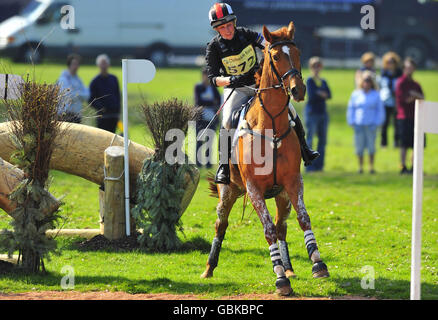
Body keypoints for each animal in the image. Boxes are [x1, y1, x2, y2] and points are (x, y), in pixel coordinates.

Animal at [202, 22, 328, 296]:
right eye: (276, 56)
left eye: (298, 53)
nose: (298, 90)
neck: (270, 126)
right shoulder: (254, 189)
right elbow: (268, 229)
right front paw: (280, 279)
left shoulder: (292, 182)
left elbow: (302, 220)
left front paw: (317, 264)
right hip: (228, 192)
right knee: (221, 224)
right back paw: (208, 269)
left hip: (281, 195)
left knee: (282, 226)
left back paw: (289, 267)